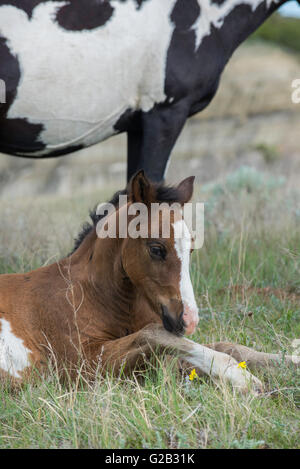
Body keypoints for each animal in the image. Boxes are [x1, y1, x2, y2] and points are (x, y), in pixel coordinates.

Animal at [0, 172, 296, 392]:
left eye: (191, 249)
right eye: (156, 248)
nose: (189, 321)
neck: (90, 294)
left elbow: (227, 345)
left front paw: (291, 360)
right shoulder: (82, 366)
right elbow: (154, 334)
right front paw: (241, 377)